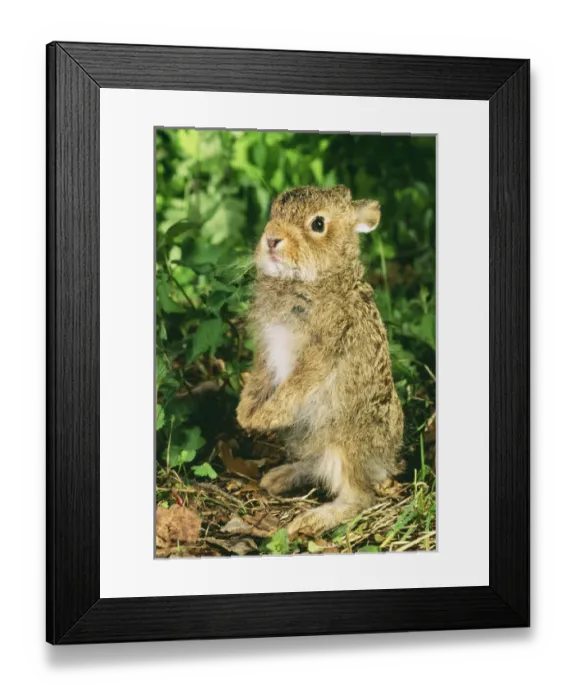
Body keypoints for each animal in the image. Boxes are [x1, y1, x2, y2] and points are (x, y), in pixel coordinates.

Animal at [236, 185, 404, 537]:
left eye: (318, 224)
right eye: (274, 211)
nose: (272, 239)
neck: (316, 280)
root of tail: (385, 461)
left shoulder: (320, 354)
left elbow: (294, 386)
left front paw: (264, 419)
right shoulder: (267, 348)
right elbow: (259, 377)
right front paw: (245, 415)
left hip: (345, 442)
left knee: (359, 498)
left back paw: (309, 520)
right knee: (315, 464)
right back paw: (278, 478)